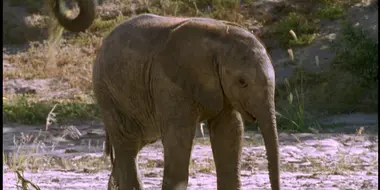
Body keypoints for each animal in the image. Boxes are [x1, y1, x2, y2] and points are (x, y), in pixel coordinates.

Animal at [93, 13, 280, 190]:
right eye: (242, 81)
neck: (220, 41)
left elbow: (229, 132)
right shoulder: (168, 82)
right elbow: (179, 136)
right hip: (107, 92)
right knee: (128, 144)